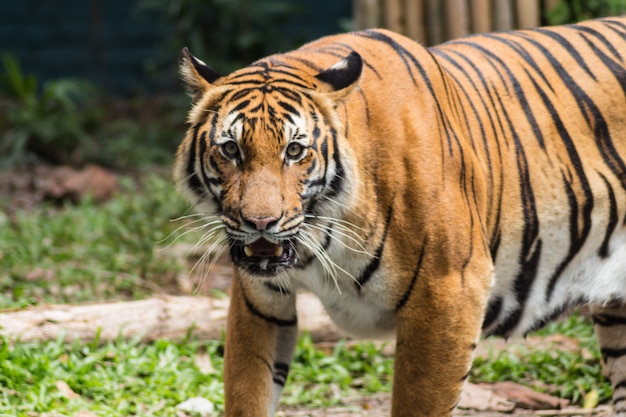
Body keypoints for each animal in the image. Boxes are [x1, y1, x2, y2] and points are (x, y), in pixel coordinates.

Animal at [173, 16, 624, 416]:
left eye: (295, 151)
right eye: (231, 149)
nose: (260, 223)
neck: (325, 236)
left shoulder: (450, 290)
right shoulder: (261, 302)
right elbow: (248, 392)